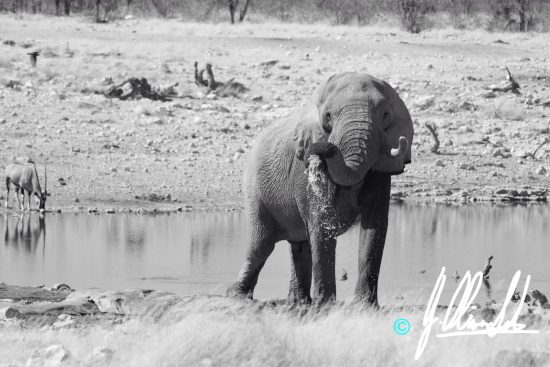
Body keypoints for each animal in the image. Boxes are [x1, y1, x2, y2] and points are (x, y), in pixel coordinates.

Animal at [227, 72, 414, 308]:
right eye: (328, 116)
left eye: (386, 114)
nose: (321, 152)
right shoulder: (302, 172)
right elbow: (320, 224)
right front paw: (325, 305)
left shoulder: (380, 170)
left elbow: (374, 227)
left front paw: (363, 305)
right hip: (254, 189)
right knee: (261, 245)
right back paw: (238, 296)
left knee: (299, 246)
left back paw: (298, 303)